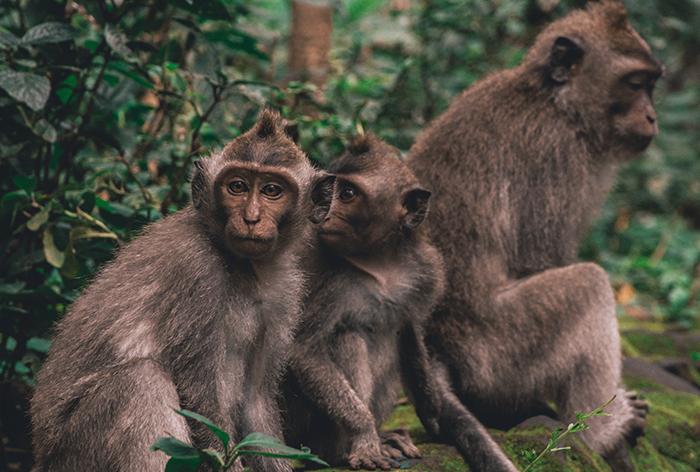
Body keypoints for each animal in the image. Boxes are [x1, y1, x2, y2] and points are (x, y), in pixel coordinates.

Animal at [30, 109, 333, 472]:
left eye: (272, 190)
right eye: (237, 186)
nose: (251, 217)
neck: (245, 268)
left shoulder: (284, 294)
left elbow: (255, 404)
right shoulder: (195, 272)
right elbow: (199, 398)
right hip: (73, 453)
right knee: (140, 381)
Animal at [281, 135, 518, 472]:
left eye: (347, 193)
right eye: (331, 189)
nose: (324, 213)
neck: (381, 264)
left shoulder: (428, 271)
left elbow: (410, 332)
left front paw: (435, 413)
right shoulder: (333, 281)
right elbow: (303, 349)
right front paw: (365, 434)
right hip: (300, 430)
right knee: (349, 335)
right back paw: (347, 449)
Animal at [406, 1, 661, 470]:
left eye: (650, 85)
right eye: (634, 84)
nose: (652, 116)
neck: (553, 101)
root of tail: (436, 343)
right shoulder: (557, 155)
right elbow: (539, 258)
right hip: (499, 353)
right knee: (587, 285)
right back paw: (599, 433)